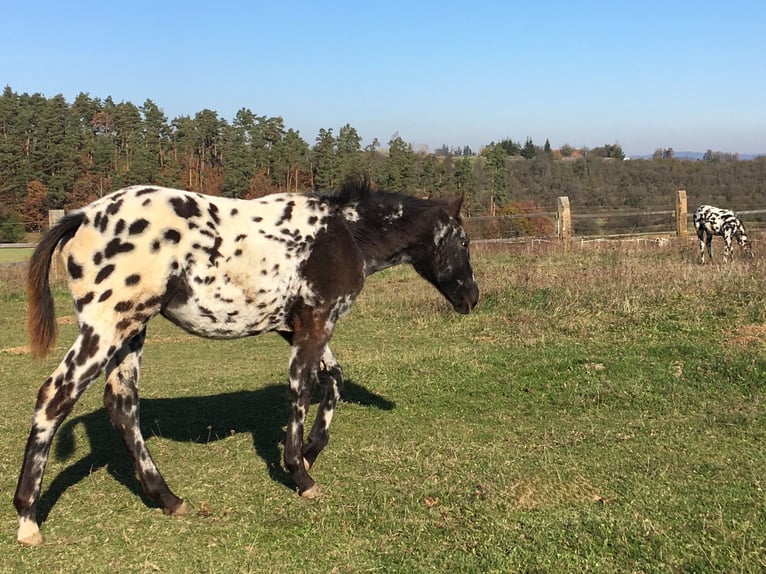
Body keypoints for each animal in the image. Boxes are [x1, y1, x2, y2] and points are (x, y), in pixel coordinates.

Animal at [12, 178, 480, 548]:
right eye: (464, 241)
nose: (472, 298)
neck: (346, 234)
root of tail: (82, 216)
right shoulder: (316, 325)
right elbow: (301, 390)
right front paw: (300, 474)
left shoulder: (294, 328)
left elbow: (333, 380)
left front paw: (310, 451)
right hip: (106, 328)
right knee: (54, 397)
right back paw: (28, 519)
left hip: (131, 332)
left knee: (122, 406)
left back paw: (167, 498)